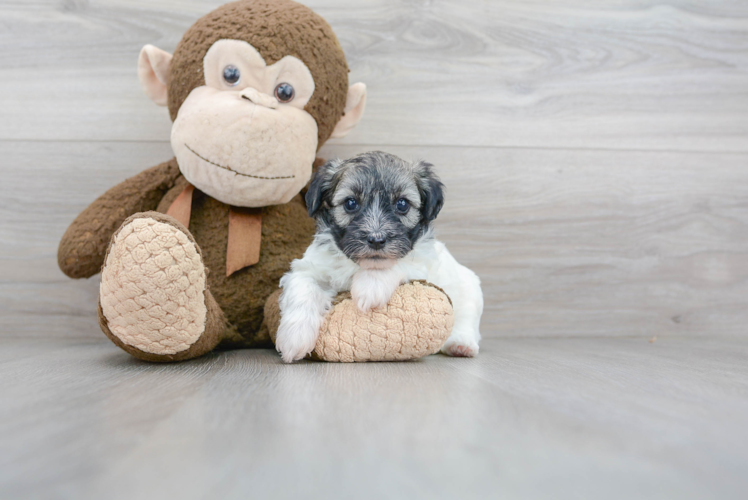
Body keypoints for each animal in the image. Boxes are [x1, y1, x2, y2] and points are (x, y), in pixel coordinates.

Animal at [276, 150, 486, 362]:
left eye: (402, 204)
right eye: (350, 203)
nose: (376, 240)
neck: (359, 265)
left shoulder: (420, 258)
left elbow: (396, 263)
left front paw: (370, 286)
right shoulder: (309, 268)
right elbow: (304, 290)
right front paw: (294, 338)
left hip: (469, 289)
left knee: (467, 319)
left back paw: (461, 344)